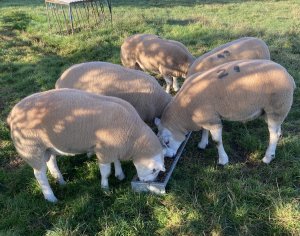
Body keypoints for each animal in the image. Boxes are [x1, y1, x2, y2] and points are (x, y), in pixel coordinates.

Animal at [7, 87, 165, 202]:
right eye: (153, 170)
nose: (148, 182)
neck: (134, 138)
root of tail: (12, 114)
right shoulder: (104, 149)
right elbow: (106, 171)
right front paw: (105, 188)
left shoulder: (113, 147)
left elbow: (116, 161)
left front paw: (120, 174)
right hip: (31, 148)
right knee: (39, 175)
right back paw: (51, 197)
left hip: (47, 148)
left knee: (51, 163)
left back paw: (61, 182)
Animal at [155, 60, 296, 165]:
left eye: (167, 142)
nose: (168, 157)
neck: (186, 111)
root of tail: (289, 76)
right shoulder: (207, 116)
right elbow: (204, 130)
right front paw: (202, 144)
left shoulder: (212, 120)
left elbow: (217, 141)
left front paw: (223, 160)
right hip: (270, 111)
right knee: (277, 131)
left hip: (277, 107)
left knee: (273, 135)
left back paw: (268, 157)